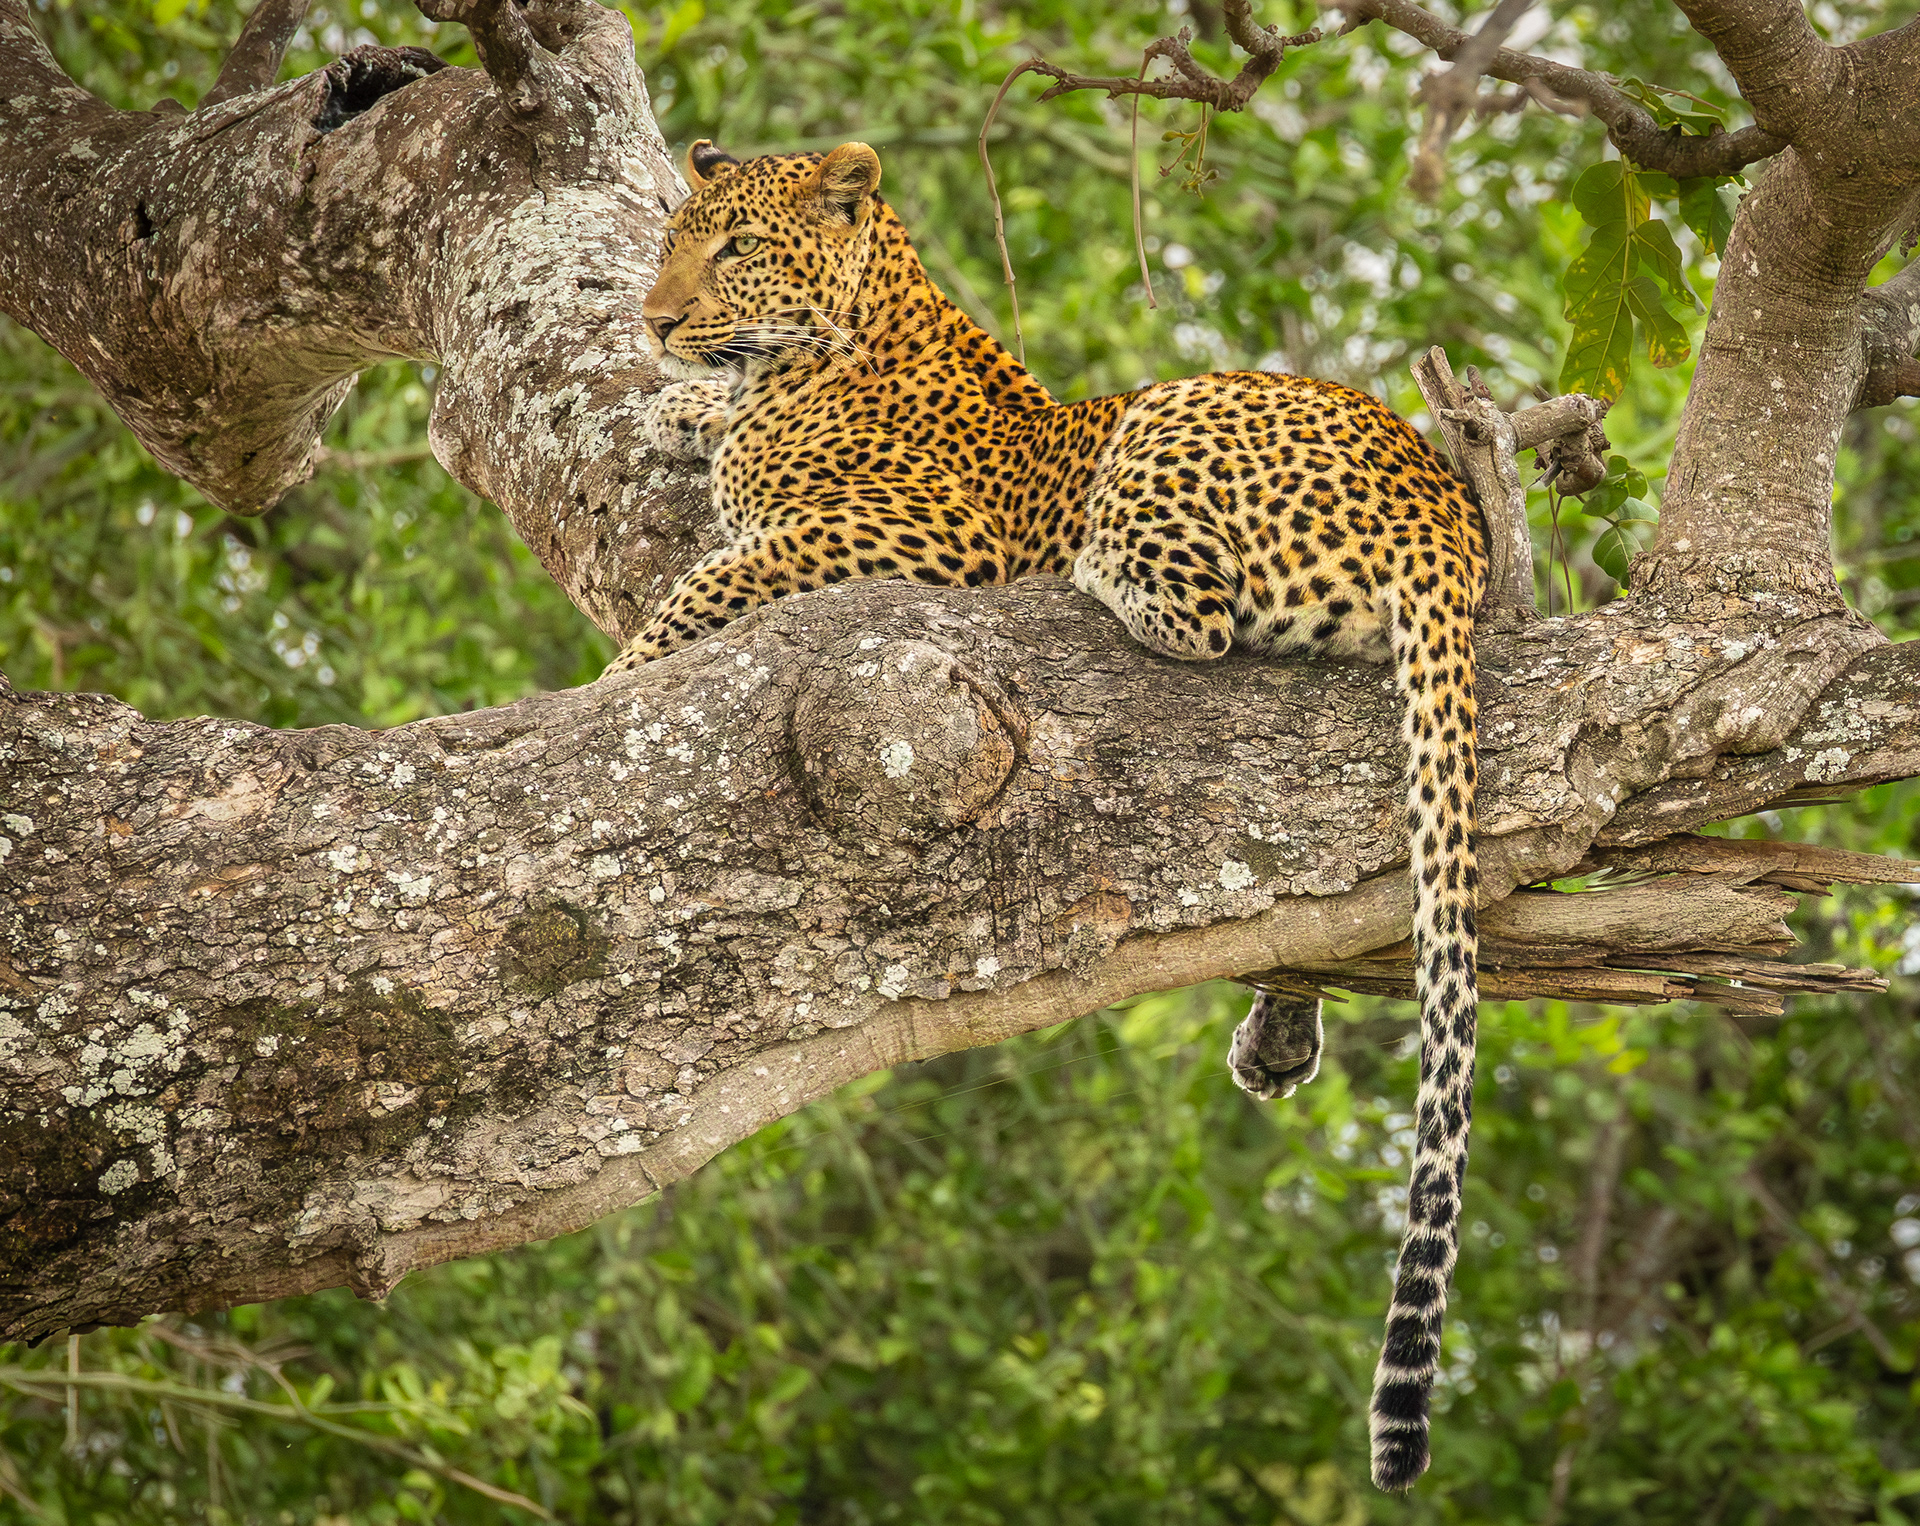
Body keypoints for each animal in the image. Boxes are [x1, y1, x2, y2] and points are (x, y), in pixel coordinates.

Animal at [606, 138, 1486, 1492]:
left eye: (737, 248)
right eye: (670, 241)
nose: (653, 322)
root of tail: (1444, 511)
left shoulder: (916, 532)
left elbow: (709, 583)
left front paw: (602, 678)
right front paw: (677, 409)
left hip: (1170, 421)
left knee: (1193, 608)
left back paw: (1088, 563)